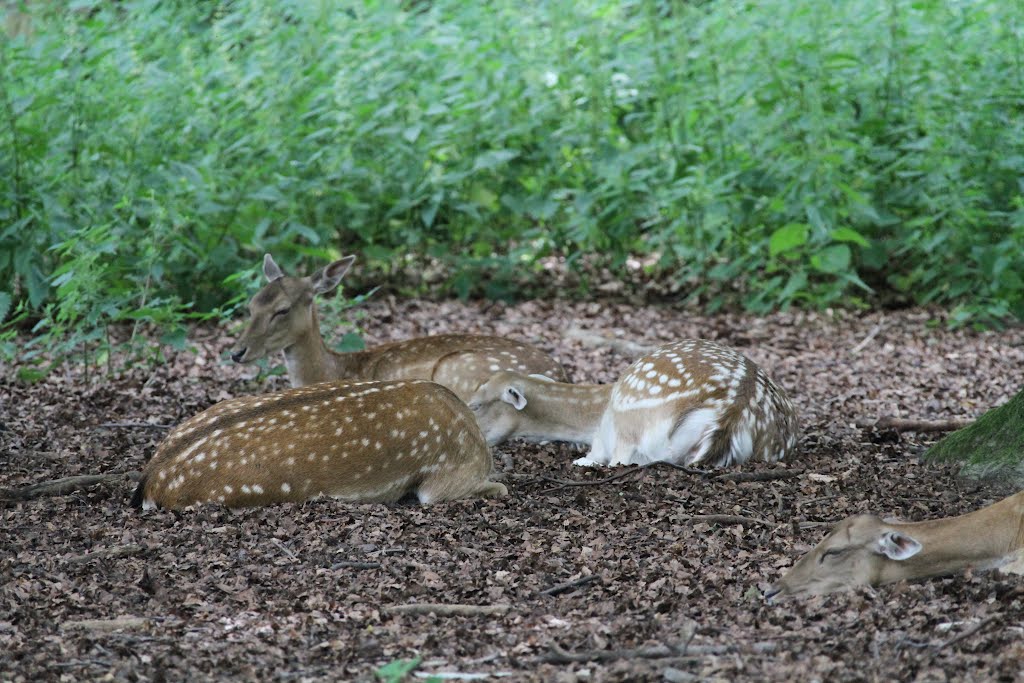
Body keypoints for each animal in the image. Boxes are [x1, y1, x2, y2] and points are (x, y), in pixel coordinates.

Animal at [230, 253, 569, 401]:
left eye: (282, 310)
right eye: (251, 304)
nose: (236, 352)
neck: (332, 370)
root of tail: (560, 375)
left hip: (458, 367)